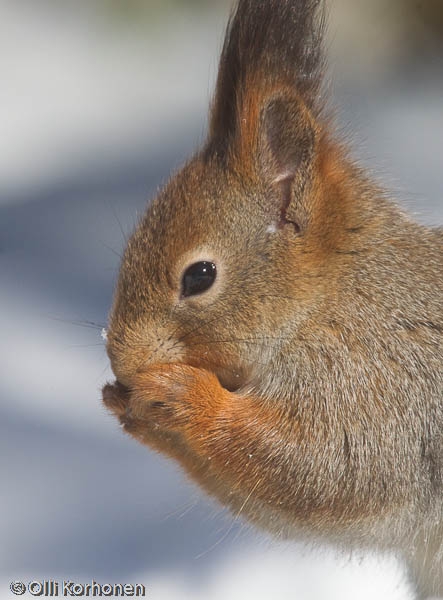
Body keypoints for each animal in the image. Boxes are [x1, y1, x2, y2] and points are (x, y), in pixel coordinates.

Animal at [102, 2, 443, 596]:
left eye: (200, 277)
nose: (120, 360)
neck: (330, 299)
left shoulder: (381, 382)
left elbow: (330, 468)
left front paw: (183, 396)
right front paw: (130, 406)